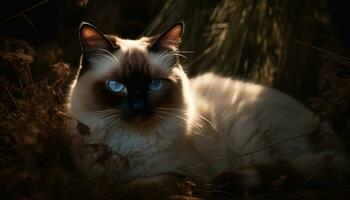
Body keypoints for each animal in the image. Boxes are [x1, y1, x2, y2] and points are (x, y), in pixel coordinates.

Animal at [65, 21, 348, 195]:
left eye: (154, 85)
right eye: (116, 86)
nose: (137, 107)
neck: (129, 143)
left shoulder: (186, 176)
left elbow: (141, 184)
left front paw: (125, 187)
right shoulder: (89, 172)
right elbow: (102, 181)